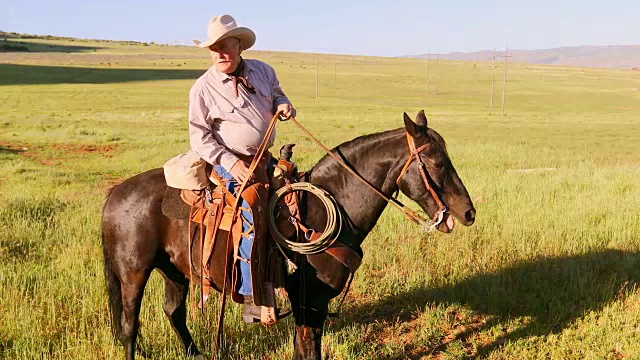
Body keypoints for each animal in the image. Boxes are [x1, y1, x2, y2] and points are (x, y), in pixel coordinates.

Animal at [102, 110, 476, 360]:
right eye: (438, 163)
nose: (469, 213)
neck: (325, 207)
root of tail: (114, 193)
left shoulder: (314, 304)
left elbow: (306, 347)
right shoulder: (309, 300)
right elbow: (308, 348)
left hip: (176, 271)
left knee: (173, 313)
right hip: (133, 274)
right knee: (130, 325)